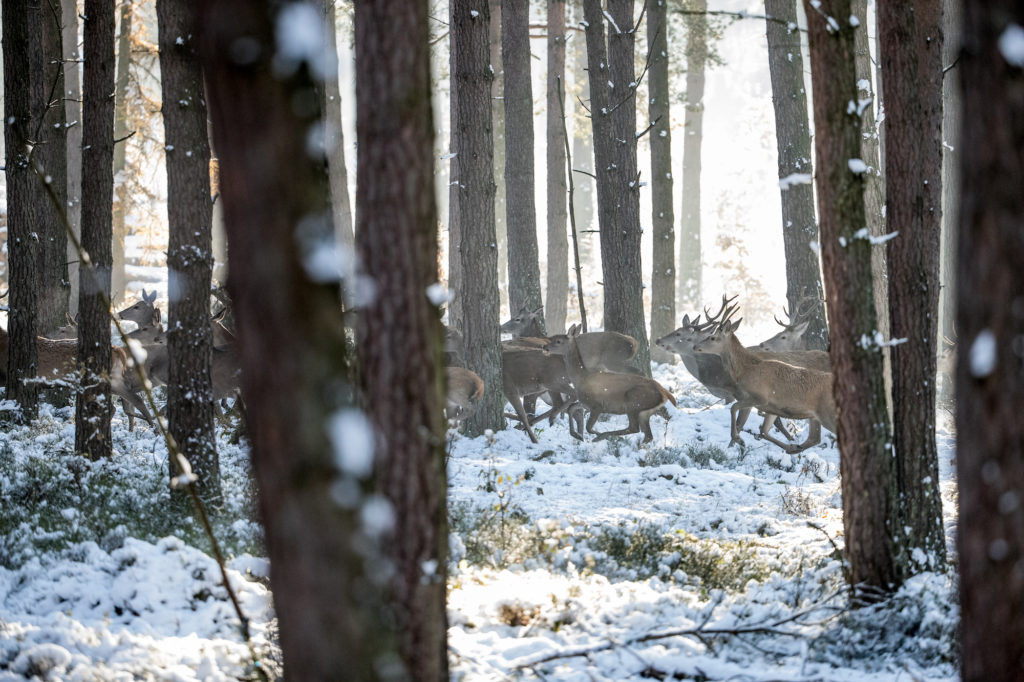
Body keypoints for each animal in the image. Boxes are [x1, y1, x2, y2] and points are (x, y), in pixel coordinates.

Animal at [692, 317, 835, 450]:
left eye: (712, 337)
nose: (695, 346)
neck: (746, 370)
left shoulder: (760, 397)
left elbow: (734, 408)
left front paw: (738, 439)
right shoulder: (769, 406)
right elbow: (761, 430)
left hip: (826, 413)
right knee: (814, 438)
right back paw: (794, 448)